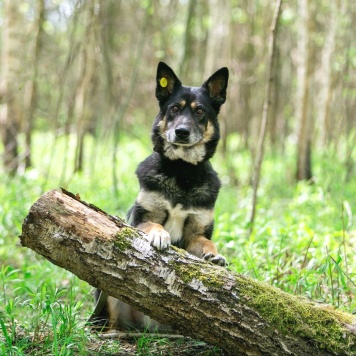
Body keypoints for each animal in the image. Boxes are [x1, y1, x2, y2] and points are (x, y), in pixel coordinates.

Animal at [92, 60, 228, 330]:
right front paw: (160, 235)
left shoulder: (195, 235)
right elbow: (154, 224)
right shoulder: (140, 219)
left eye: (199, 112)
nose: (182, 132)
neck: (182, 172)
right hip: (109, 293)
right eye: (174, 109)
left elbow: (206, 242)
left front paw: (215, 256)